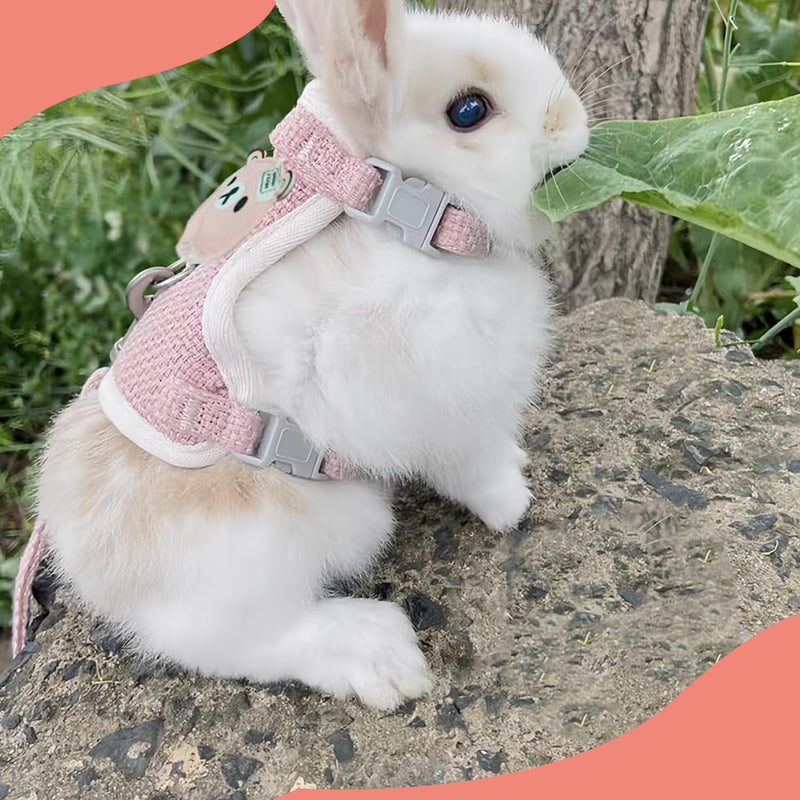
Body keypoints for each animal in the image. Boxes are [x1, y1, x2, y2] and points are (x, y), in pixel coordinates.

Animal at [35, 0, 589, 710]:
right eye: (469, 110)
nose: (571, 118)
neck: (403, 221)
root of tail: (86, 562)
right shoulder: (438, 405)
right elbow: (472, 468)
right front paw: (514, 503)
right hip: (269, 543)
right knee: (242, 640)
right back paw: (380, 658)